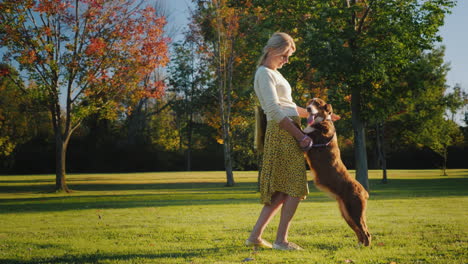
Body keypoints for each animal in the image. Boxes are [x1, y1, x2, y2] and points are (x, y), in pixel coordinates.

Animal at [304, 98, 372, 246]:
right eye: (309, 102)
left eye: (317, 104)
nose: (307, 108)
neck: (321, 122)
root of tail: (364, 192)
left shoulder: (309, 140)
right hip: (347, 214)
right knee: (359, 232)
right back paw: (359, 246)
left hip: (355, 211)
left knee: (366, 232)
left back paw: (365, 247)